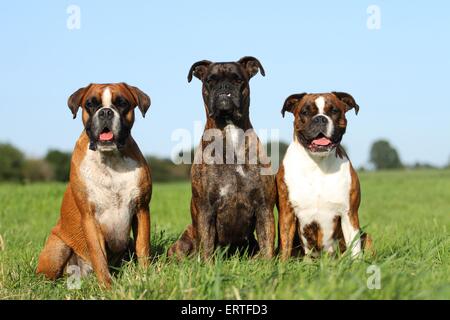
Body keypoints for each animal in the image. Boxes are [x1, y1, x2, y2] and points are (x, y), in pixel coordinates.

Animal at [36, 82, 152, 288]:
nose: (105, 112)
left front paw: (144, 278)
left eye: (122, 103)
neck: (110, 159)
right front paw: (107, 287)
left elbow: (143, 247)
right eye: (90, 104)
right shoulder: (89, 217)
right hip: (58, 248)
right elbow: (98, 254)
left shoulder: (141, 209)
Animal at [168, 56, 276, 258]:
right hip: (183, 242)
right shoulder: (206, 210)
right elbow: (207, 248)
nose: (224, 87)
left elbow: (267, 247)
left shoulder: (264, 208)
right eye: (210, 80)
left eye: (238, 79)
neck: (229, 128)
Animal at [278, 92, 372, 260]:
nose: (320, 119)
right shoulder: (287, 213)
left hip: (367, 236)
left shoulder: (349, 214)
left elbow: (355, 248)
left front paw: (357, 265)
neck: (317, 163)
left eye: (334, 111)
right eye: (305, 112)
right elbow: (285, 246)